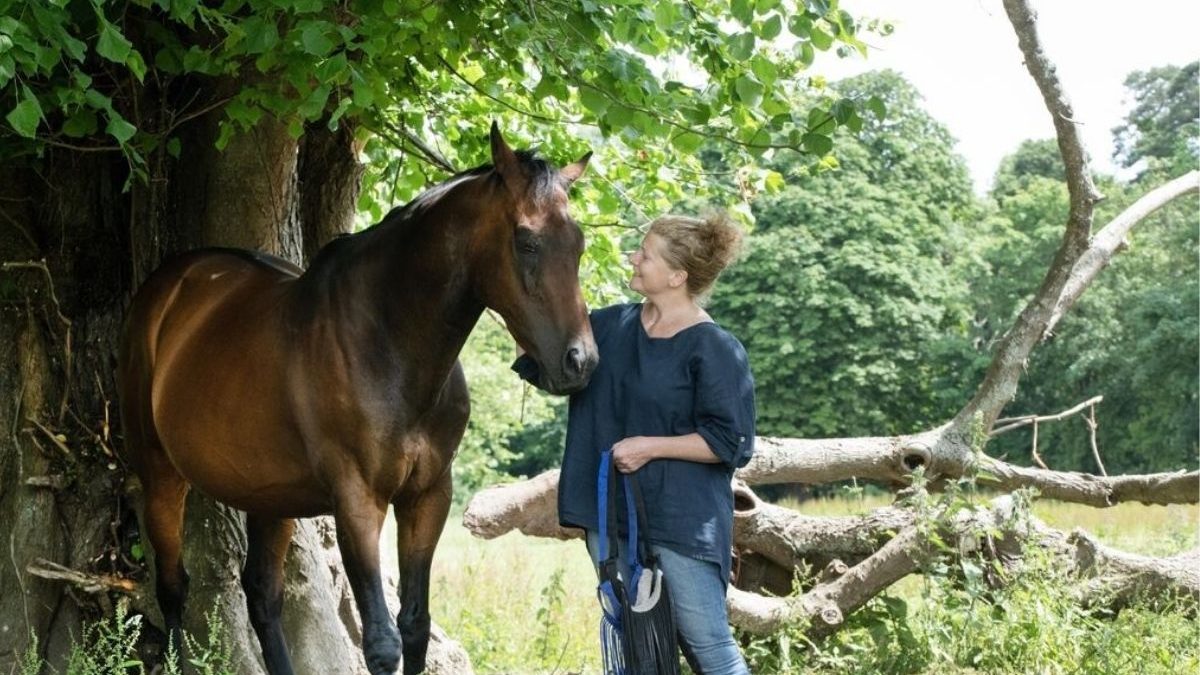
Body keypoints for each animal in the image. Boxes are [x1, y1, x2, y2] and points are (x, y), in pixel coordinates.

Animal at [117, 123, 598, 675]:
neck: (388, 340)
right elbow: (383, 642)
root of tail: (169, 285)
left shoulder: (428, 496)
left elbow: (415, 626)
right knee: (174, 588)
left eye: (579, 244)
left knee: (263, 596)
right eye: (527, 241)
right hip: (161, 472)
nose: (579, 361)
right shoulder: (358, 501)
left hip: (269, 496)